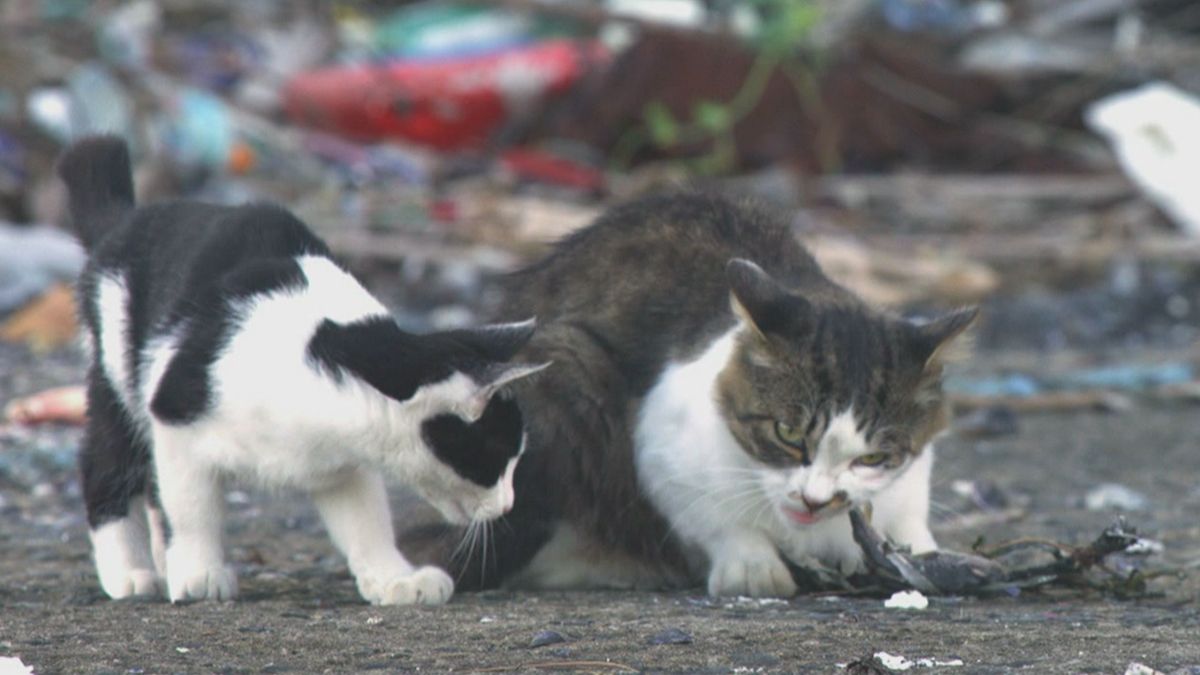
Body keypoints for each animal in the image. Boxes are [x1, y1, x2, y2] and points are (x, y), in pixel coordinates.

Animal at [56, 136, 544, 605]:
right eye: (497, 460)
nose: (509, 504)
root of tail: (124, 225)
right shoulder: (176, 417)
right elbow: (192, 508)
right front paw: (199, 571)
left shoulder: (342, 466)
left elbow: (367, 523)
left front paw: (394, 579)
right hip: (119, 375)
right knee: (107, 465)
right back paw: (129, 572)